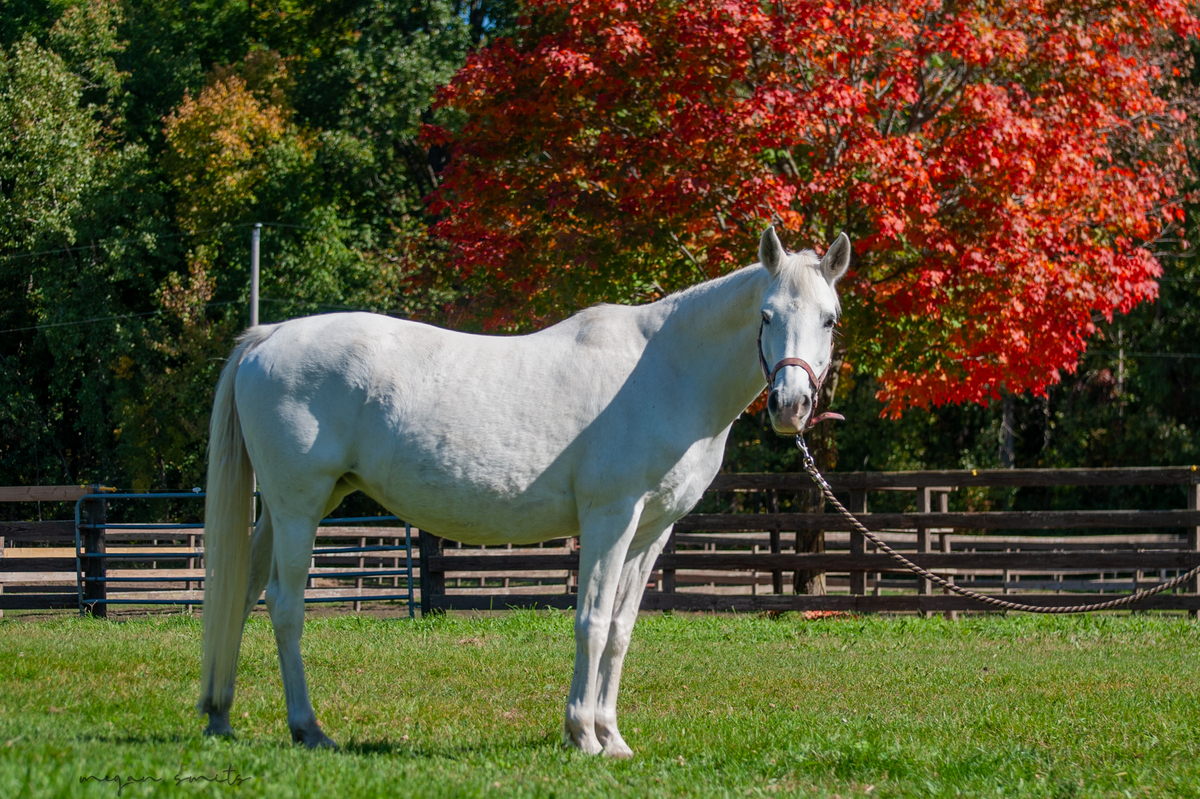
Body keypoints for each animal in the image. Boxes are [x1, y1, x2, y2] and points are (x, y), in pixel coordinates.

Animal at [198, 226, 851, 756]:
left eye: (830, 318)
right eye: (766, 315)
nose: (791, 406)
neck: (667, 372)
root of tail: (268, 337)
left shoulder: (650, 531)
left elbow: (620, 629)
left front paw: (613, 737)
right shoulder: (610, 517)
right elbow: (590, 620)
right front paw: (583, 734)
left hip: (292, 506)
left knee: (242, 590)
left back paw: (220, 715)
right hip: (298, 506)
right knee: (284, 605)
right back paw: (308, 729)